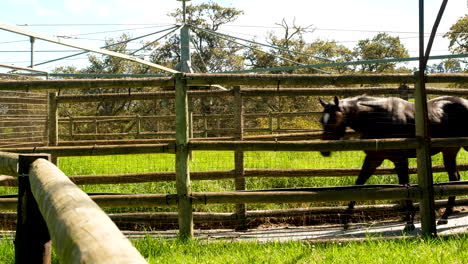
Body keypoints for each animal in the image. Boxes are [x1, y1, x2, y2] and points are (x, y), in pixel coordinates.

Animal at [318, 95, 468, 231]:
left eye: (334, 119)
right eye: (322, 120)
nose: (324, 150)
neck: (379, 118)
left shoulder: (400, 159)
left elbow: (404, 185)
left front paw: (409, 222)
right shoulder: (373, 159)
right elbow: (358, 184)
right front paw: (345, 221)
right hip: (449, 150)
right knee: (454, 178)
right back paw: (444, 217)